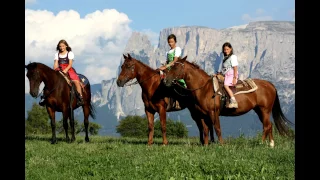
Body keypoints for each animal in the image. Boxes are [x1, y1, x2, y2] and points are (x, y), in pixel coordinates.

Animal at [164, 58, 294, 147]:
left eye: (176, 68)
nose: (166, 80)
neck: (204, 88)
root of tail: (270, 85)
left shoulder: (214, 112)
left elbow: (217, 128)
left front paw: (221, 145)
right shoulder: (202, 114)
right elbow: (205, 129)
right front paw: (205, 145)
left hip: (265, 110)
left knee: (267, 126)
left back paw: (262, 143)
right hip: (259, 110)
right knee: (269, 125)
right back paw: (271, 144)